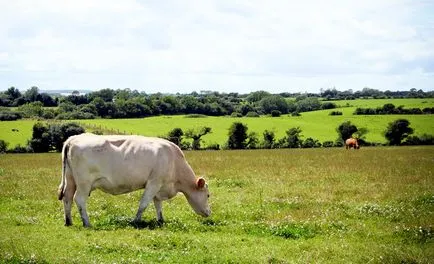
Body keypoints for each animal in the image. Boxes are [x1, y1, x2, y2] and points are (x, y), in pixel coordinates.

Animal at [58, 133, 212, 228]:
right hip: (84, 183)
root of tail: (74, 138)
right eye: (208, 195)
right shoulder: (154, 182)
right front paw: (136, 221)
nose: (209, 212)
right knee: (79, 199)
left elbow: (158, 204)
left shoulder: (159, 186)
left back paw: (68, 221)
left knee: (67, 197)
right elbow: (144, 204)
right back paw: (87, 223)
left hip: (70, 179)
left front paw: (161, 220)